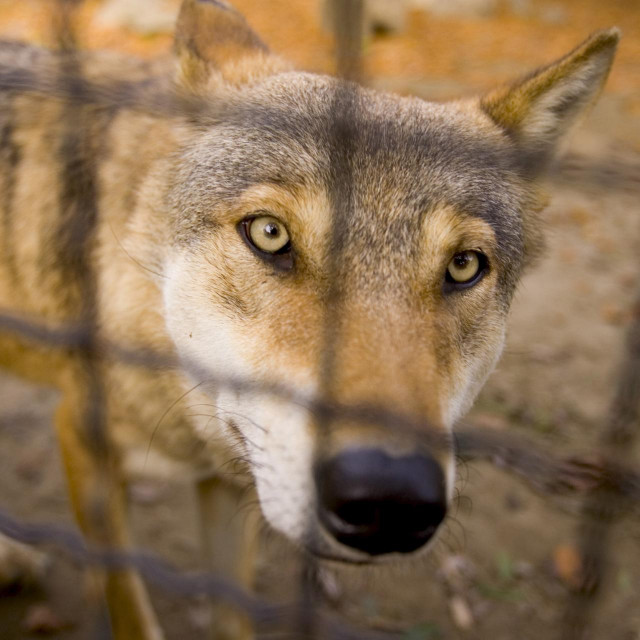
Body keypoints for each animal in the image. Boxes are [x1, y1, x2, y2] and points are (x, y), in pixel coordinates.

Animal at [0, 0, 620, 636]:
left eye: (464, 266)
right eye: (270, 234)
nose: (389, 501)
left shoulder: (228, 482)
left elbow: (232, 612)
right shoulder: (84, 446)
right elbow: (130, 605)